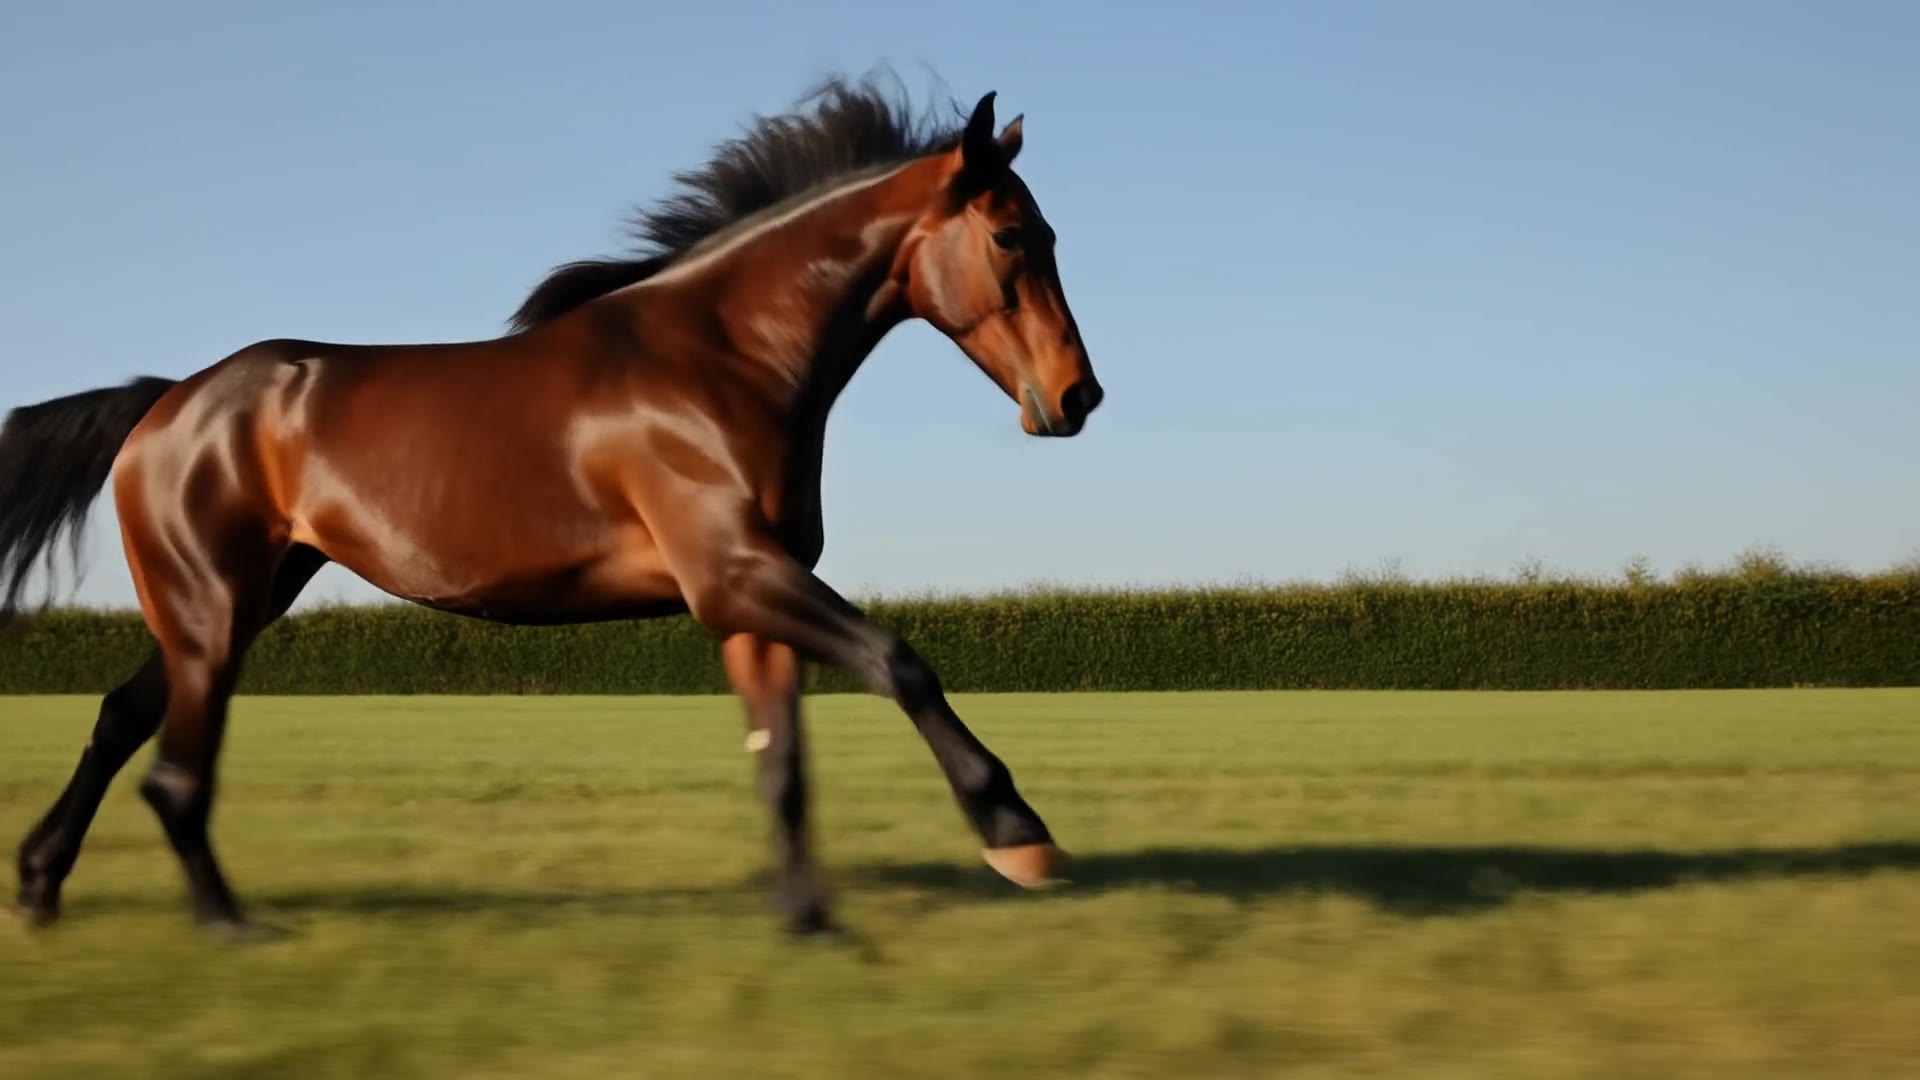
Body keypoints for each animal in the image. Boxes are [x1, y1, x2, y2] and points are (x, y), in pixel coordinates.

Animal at [0, 75, 1103, 938]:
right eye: (1013, 234)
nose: (1077, 397)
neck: (720, 361)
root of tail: (166, 401)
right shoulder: (734, 575)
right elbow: (899, 662)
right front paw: (1019, 836)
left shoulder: (747, 603)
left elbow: (782, 762)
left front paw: (810, 920)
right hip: (214, 612)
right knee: (175, 774)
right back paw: (229, 925)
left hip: (237, 603)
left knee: (120, 719)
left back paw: (42, 886)